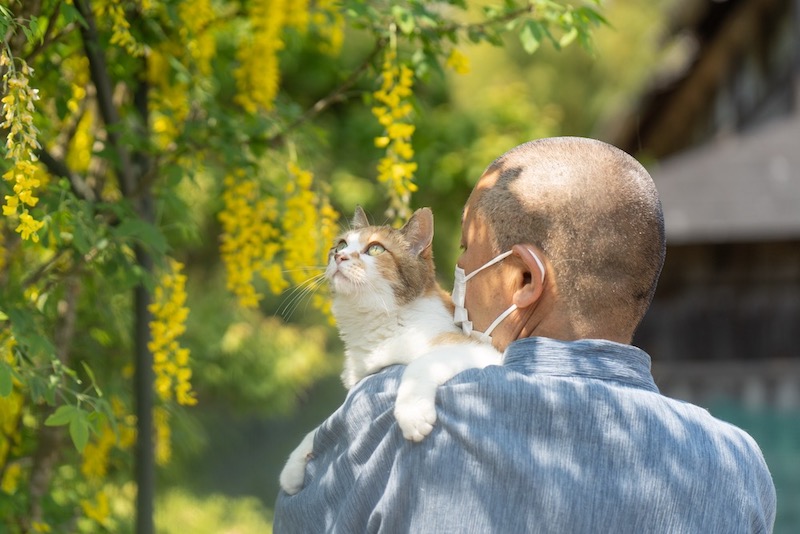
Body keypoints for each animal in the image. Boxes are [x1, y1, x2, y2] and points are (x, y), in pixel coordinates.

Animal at [278, 207, 496, 496]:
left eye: (376, 249)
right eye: (341, 244)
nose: (339, 256)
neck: (380, 324)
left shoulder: (482, 351)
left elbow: (421, 364)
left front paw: (412, 413)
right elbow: (321, 427)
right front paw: (293, 464)